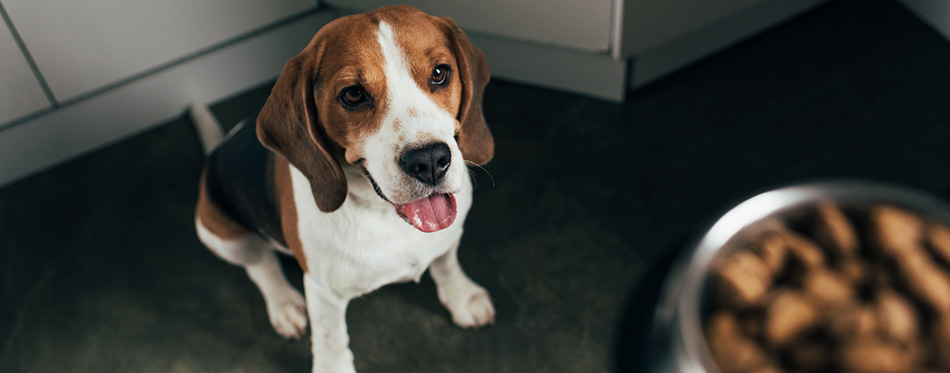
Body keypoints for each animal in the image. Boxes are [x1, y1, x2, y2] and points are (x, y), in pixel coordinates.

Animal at [191, 6, 494, 372]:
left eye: (439, 73)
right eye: (353, 94)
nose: (430, 160)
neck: (386, 216)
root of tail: (216, 152)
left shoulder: (449, 234)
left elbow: (447, 261)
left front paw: (462, 297)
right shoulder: (324, 291)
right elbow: (330, 337)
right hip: (220, 234)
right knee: (260, 263)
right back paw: (283, 303)